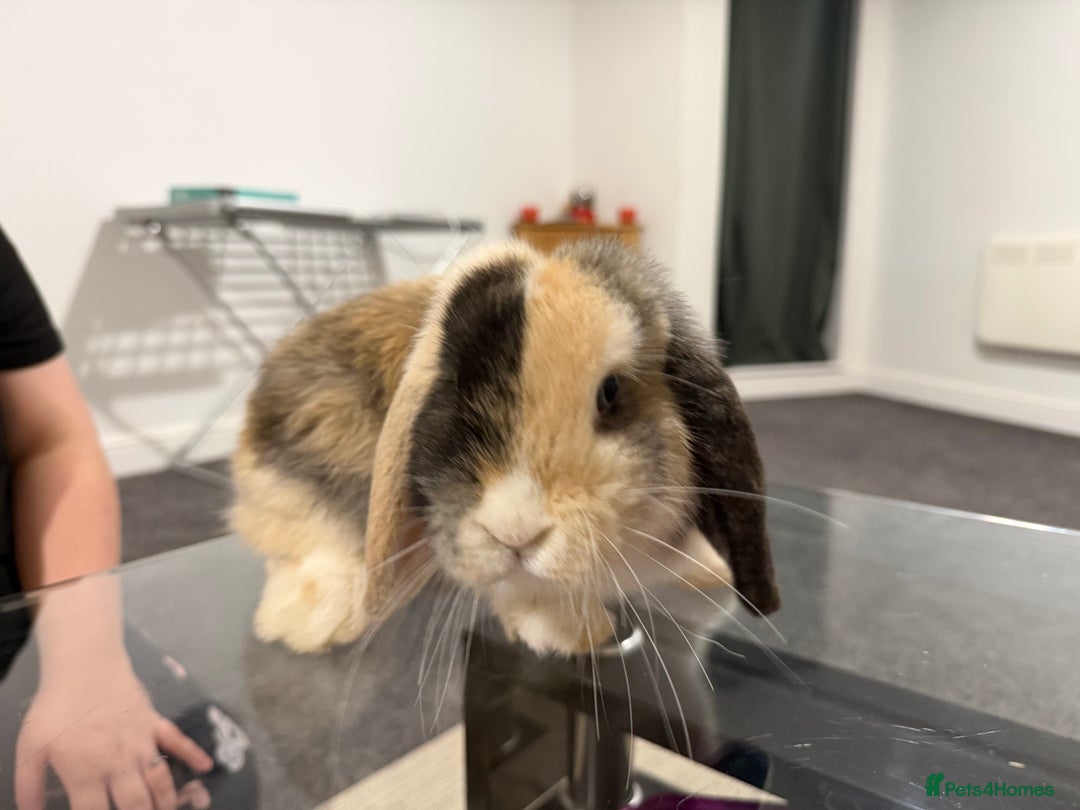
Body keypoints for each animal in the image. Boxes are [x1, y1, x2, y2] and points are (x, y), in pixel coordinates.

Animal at [230, 238, 779, 655]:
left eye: (611, 392)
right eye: (449, 388)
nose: (515, 532)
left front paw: (708, 573)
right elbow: (523, 590)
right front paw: (582, 636)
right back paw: (309, 621)